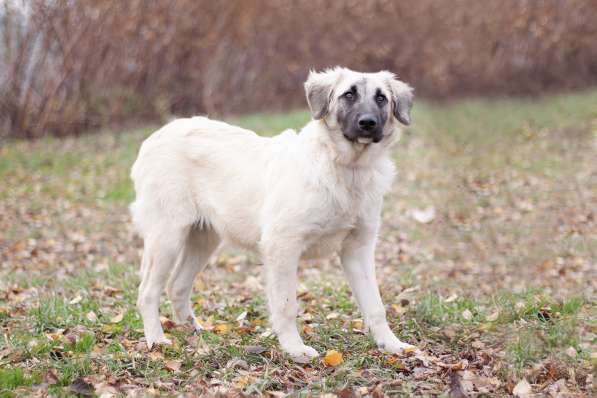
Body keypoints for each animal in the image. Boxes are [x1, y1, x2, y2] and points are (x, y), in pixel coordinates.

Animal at [130, 67, 414, 360]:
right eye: (349, 94)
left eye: (381, 98)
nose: (368, 123)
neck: (346, 169)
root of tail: (158, 134)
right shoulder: (283, 245)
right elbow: (286, 304)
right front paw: (294, 349)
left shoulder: (358, 249)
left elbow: (375, 305)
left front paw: (391, 344)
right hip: (168, 236)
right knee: (147, 292)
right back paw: (156, 340)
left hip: (203, 238)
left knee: (177, 285)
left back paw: (194, 331)